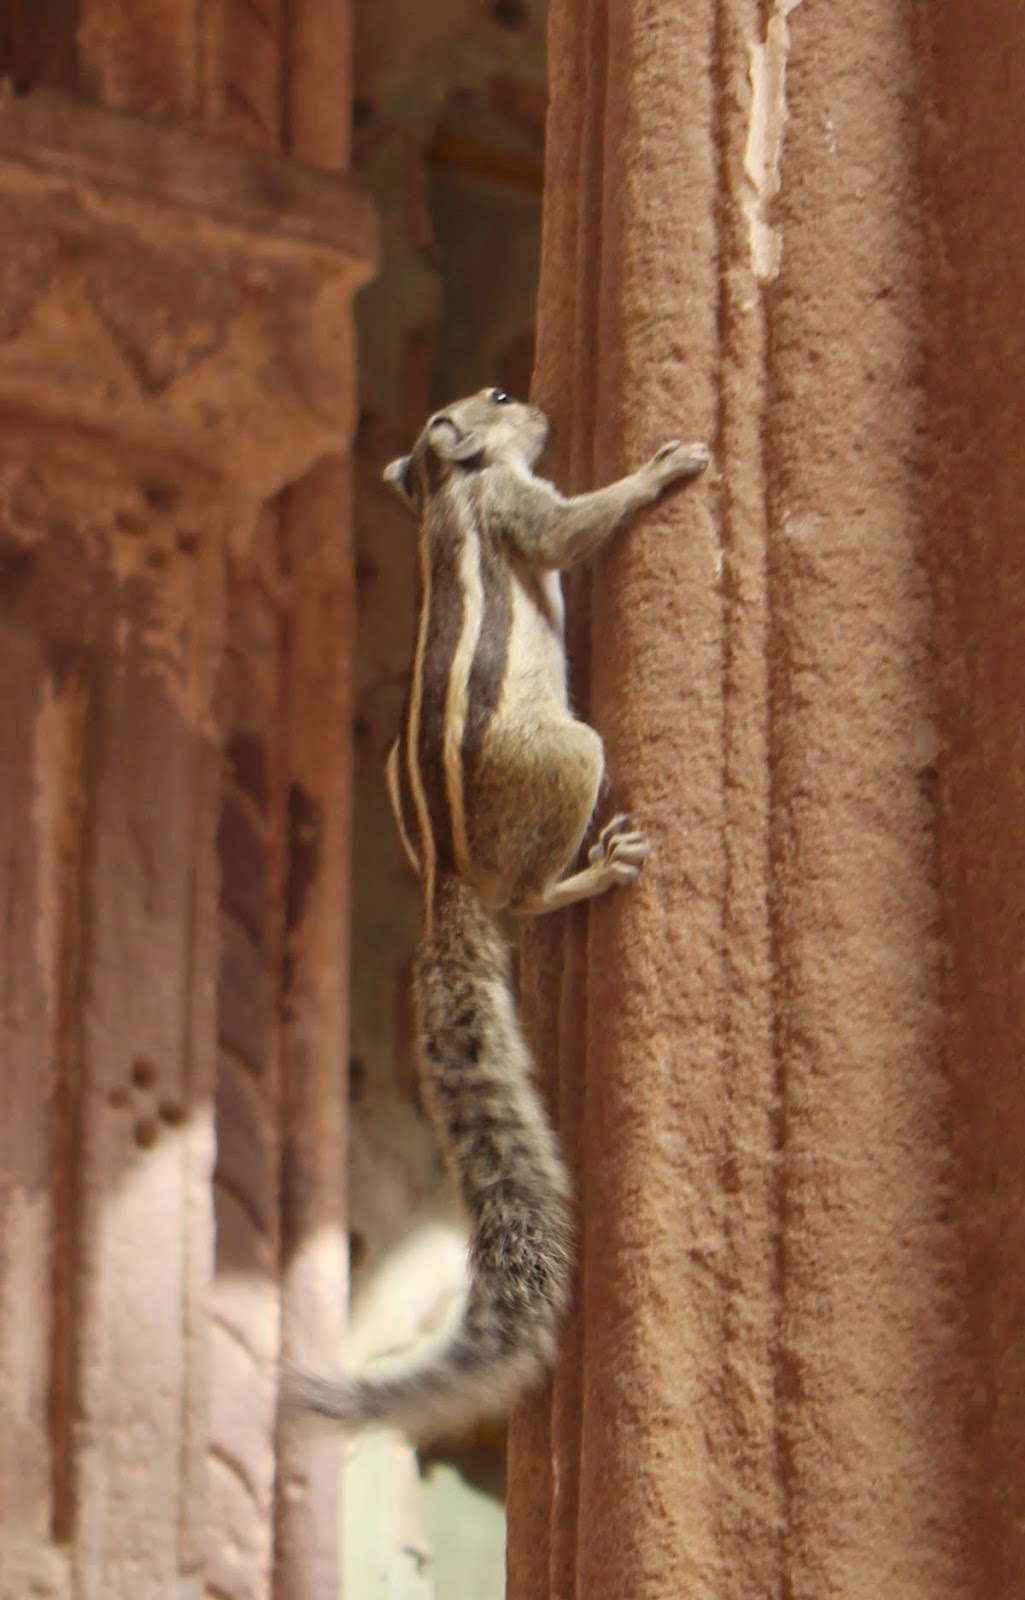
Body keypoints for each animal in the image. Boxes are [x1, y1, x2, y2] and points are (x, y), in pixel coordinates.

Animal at [285, 387, 709, 1439]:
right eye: (502, 398)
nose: (538, 401)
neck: (452, 490)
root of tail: (448, 881)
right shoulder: (520, 511)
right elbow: (571, 530)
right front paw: (660, 470)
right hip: (571, 755)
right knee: (528, 896)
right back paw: (592, 872)